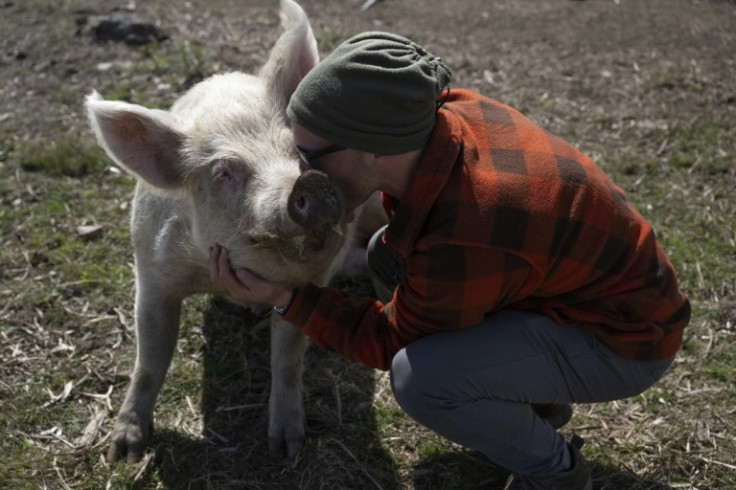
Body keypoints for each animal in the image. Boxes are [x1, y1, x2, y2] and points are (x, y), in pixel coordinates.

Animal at [85, 0, 380, 464]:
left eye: (298, 150)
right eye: (224, 171)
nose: (310, 183)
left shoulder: (310, 282)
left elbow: (287, 358)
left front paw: (287, 450)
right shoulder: (150, 272)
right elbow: (148, 361)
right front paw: (124, 453)